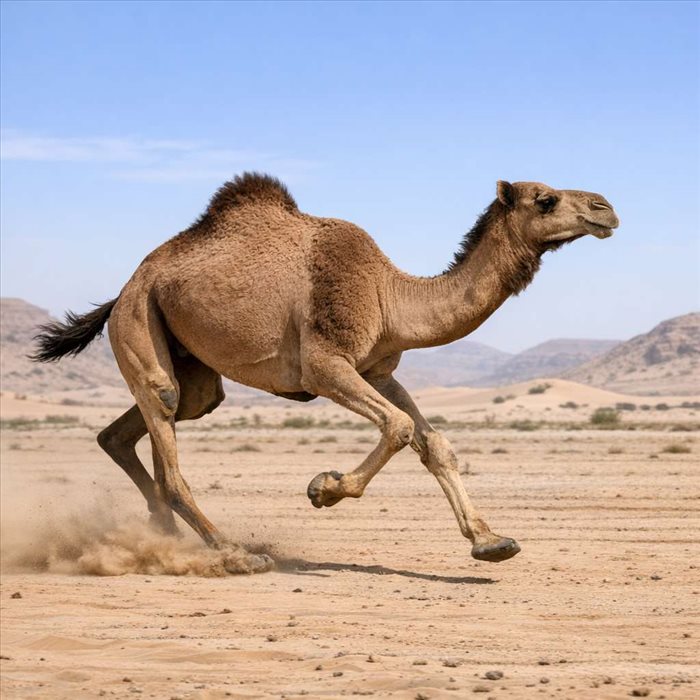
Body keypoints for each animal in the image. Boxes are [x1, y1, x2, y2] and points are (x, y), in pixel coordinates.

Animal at [33, 173, 619, 573]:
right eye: (546, 199)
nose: (607, 207)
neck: (390, 295)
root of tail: (123, 289)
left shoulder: (378, 369)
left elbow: (434, 443)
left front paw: (491, 541)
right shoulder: (324, 364)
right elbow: (399, 427)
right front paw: (325, 488)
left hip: (190, 363)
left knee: (142, 426)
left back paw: (166, 539)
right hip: (139, 323)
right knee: (165, 422)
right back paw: (233, 554)